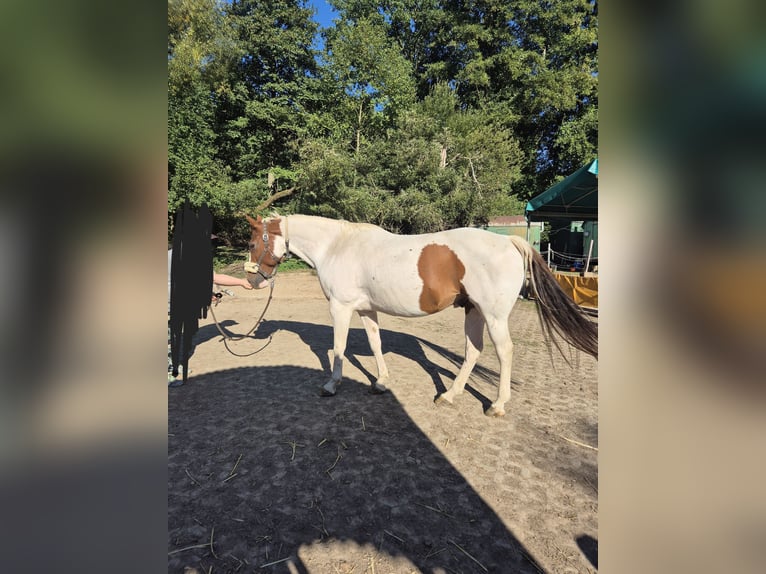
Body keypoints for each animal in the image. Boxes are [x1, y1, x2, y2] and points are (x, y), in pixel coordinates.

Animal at [244, 214, 597, 417]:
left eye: (251, 242)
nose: (254, 280)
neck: (337, 246)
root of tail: (510, 241)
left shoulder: (340, 308)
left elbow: (340, 349)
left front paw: (330, 386)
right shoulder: (366, 309)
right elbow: (375, 344)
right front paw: (381, 382)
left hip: (493, 316)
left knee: (504, 352)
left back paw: (497, 405)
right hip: (474, 311)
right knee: (473, 352)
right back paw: (450, 396)